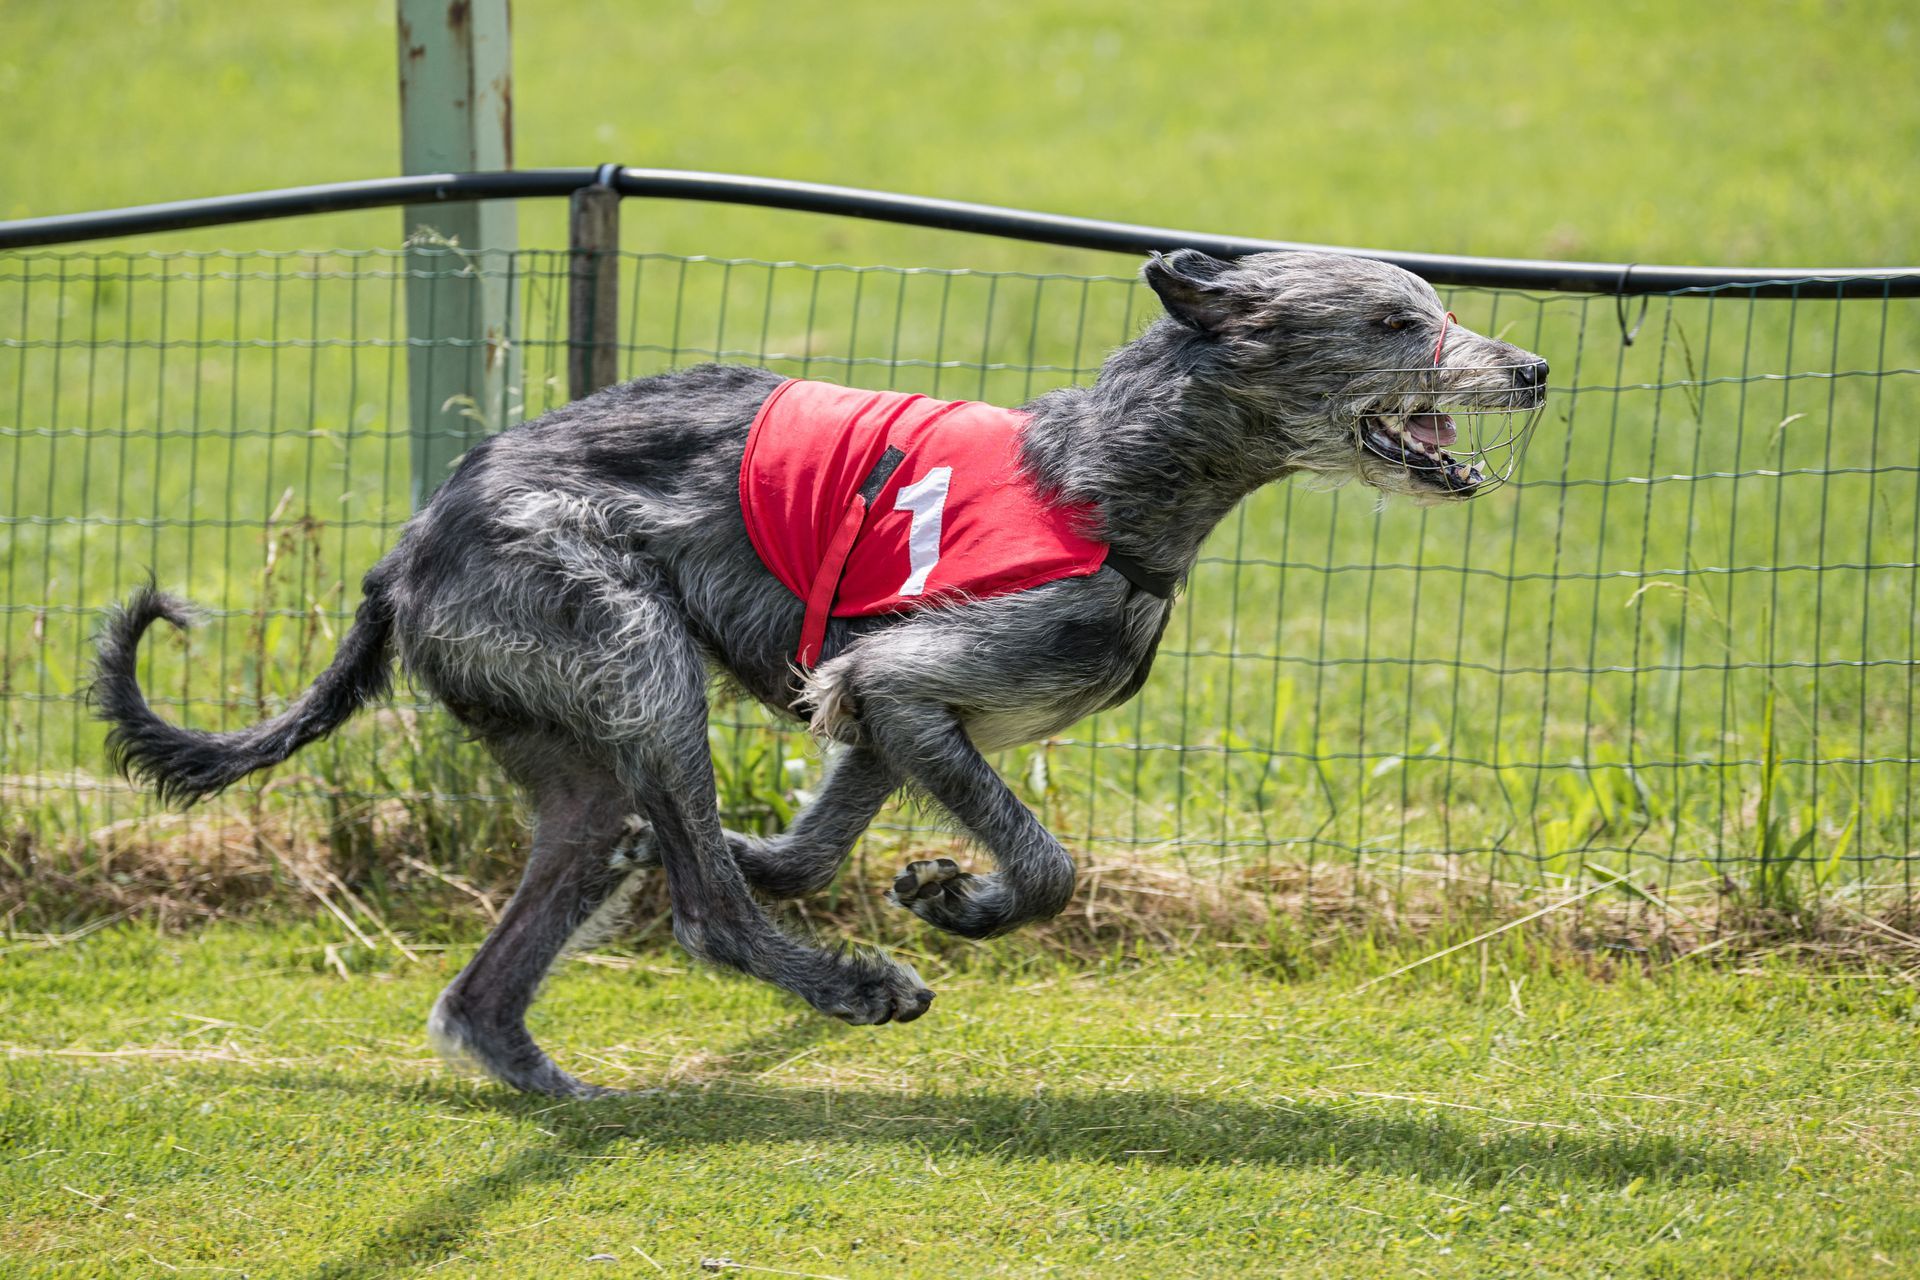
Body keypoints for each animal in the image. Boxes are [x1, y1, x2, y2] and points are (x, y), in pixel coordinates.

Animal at [93, 249, 1548, 1096]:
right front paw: (957, 900)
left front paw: (883, 872)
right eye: (1395, 319)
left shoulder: (884, 711)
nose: (1533, 367)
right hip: (627, 648)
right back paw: (845, 983)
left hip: (573, 745)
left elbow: (811, 845)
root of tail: (407, 549)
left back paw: (554, 1070)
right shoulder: (903, 680)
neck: (1101, 476)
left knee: (509, 955)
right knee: (705, 915)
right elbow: (1043, 865)